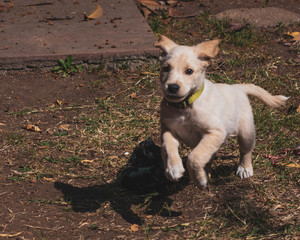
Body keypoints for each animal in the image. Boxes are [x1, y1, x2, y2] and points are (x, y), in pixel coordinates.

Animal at [156, 35, 288, 188]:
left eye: (189, 71)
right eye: (166, 68)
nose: (172, 87)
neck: (184, 107)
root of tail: (237, 88)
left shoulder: (216, 132)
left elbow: (195, 157)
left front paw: (199, 180)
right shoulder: (168, 129)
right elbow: (168, 147)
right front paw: (173, 168)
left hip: (246, 131)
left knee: (246, 151)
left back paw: (244, 168)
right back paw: (206, 171)